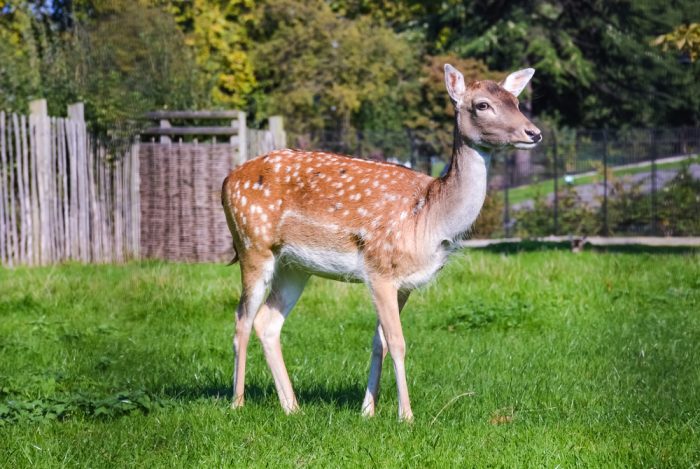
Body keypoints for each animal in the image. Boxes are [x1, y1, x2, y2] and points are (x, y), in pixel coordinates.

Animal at [220, 63, 540, 420]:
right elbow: (398, 342)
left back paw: (292, 407)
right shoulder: (379, 269)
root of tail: (226, 181)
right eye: (482, 104)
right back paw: (237, 402)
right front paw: (406, 416)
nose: (534, 133)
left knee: (267, 322)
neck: (429, 218)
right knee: (242, 319)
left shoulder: (405, 283)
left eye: (516, 100)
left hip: (294, 266)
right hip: (252, 244)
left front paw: (367, 410)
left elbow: (380, 342)